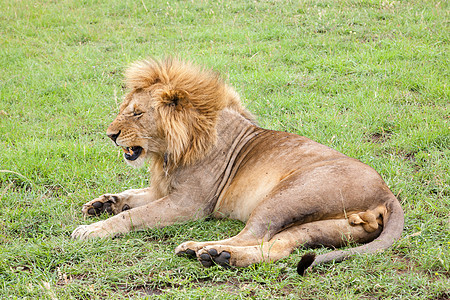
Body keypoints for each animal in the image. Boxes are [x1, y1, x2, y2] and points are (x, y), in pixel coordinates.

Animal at [71, 56, 404, 274]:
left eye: (137, 113)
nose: (110, 135)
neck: (169, 151)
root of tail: (387, 193)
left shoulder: (190, 203)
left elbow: (134, 215)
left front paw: (92, 229)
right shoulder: (165, 189)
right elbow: (132, 194)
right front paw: (102, 204)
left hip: (286, 196)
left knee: (252, 235)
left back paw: (202, 249)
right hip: (323, 226)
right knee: (277, 247)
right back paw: (221, 256)